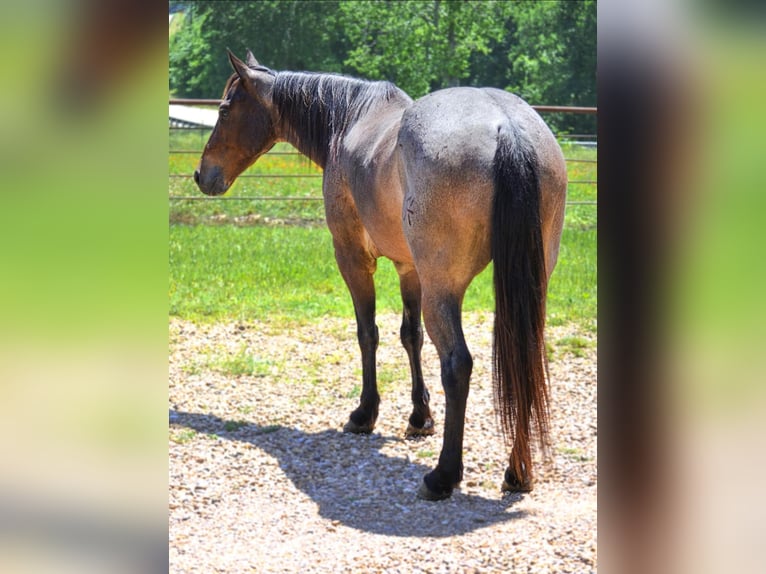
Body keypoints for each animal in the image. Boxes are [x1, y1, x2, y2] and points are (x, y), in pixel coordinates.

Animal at [195, 51, 568, 502]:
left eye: (224, 110)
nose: (202, 175)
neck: (350, 120)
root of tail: (506, 126)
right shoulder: (409, 269)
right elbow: (411, 337)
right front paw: (420, 416)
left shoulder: (353, 259)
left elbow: (367, 333)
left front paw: (365, 413)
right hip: (524, 289)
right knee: (522, 356)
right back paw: (518, 472)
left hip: (443, 290)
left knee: (457, 364)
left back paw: (443, 476)